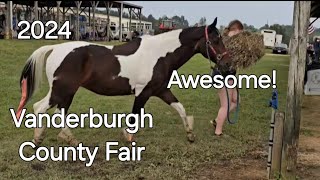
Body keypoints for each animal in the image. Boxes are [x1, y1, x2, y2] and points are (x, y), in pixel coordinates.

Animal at [15, 17, 231, 146]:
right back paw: (38, 139)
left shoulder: (161, 90)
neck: (160, 54)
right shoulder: (143, 92)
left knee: (60, 112)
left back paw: (68, 139)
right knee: (40, 107)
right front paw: (128, 137)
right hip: (61, 90)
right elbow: (135, 116)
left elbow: (181, 109)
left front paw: (190, 134)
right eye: (216, 40)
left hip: (68, 91)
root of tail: (55, 48)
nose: (229, 66)